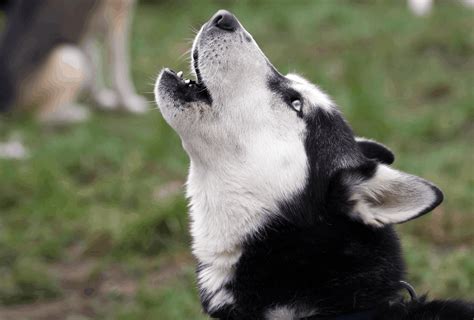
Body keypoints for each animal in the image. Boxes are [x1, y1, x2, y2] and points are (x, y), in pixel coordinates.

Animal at [0, 0, 147, 124]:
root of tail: (6, 104)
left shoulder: (89, 26)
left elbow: (95, 63)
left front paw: (100, 100)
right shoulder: (118, 16)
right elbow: (120, 66)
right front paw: (129, 104)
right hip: (70, 57)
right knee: (43, 117)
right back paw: (78, 115)